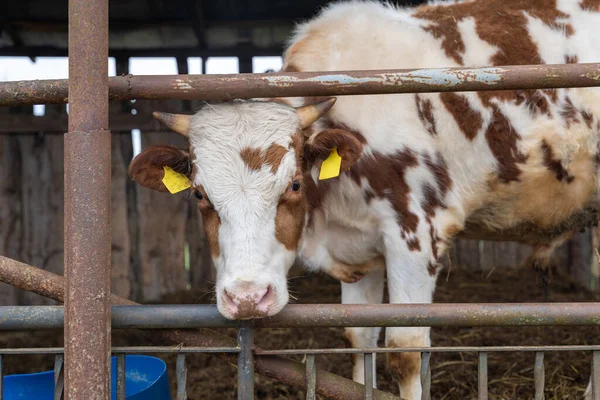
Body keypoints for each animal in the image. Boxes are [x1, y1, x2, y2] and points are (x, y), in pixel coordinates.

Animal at [129, 1, 600, 398]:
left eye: (294, 185)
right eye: (199, 193)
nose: (247, 298)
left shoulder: (417, 234)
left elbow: (405, 350)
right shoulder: (357, 245)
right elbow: (358, 337)